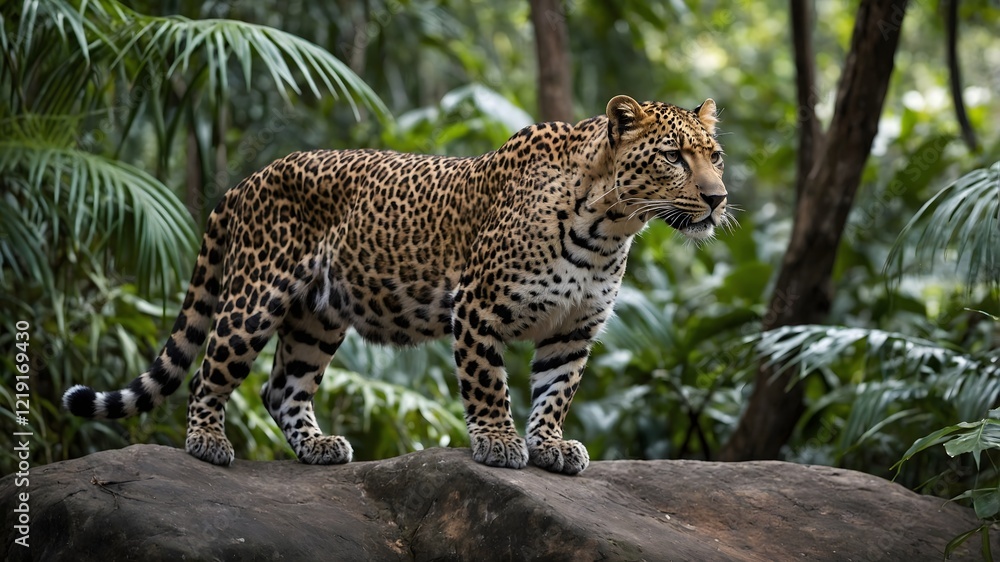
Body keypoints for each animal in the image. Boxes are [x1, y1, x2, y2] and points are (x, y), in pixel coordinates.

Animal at [63, 94, 729, 475]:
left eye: (715, 156)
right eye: (672, 156)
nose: (718, 198)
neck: (609, 227)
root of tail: (245, 181)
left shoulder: (573, 329)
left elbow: (556, 391)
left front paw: (552, 446)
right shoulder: (477, 308)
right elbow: (489, 384)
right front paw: (498, 444)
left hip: (317, 318)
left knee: (281, 389)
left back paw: (319, 448)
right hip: (256, 295)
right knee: (211, 372)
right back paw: (206, 442)